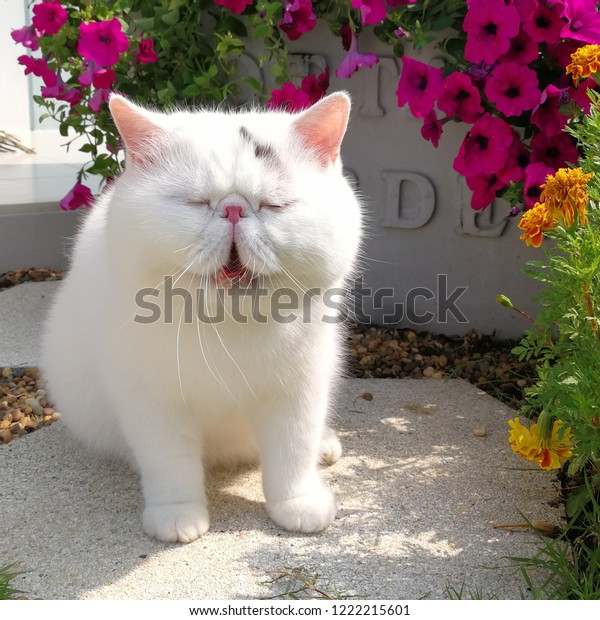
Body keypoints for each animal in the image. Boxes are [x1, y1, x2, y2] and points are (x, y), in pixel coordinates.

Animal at [42, 92, 364, 544]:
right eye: (196, 203)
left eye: (273, 205)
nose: (233, 210)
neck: (228, 327)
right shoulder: (152, 402)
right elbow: (170, 465)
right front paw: (177, 516)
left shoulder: (298, 393)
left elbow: (292, 456)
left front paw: (297, 505)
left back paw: (325, 444)